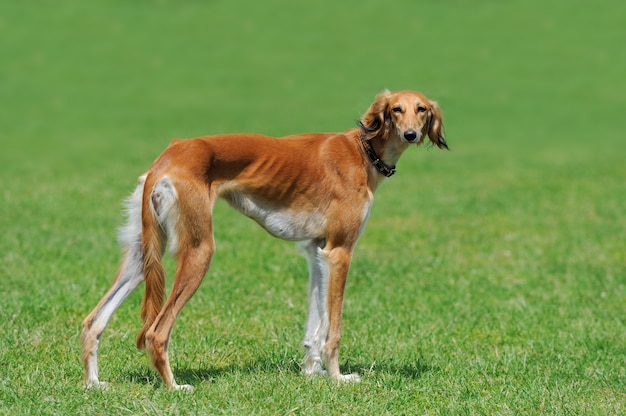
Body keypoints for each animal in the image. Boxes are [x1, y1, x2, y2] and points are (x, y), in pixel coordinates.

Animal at [80, 88, 446, 390]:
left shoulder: (317, 250)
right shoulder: (340, 252)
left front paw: (312, 372)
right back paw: (173, 386)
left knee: (92, 322)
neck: (363, 149)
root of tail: (167, 157)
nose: (411, 134)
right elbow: (333, 328)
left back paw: (94, 382)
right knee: (156, 332)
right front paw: (337, 378)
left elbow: (315, 324)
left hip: (142, 254)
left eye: (422, 109)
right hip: (199, 249)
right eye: (396, 109)